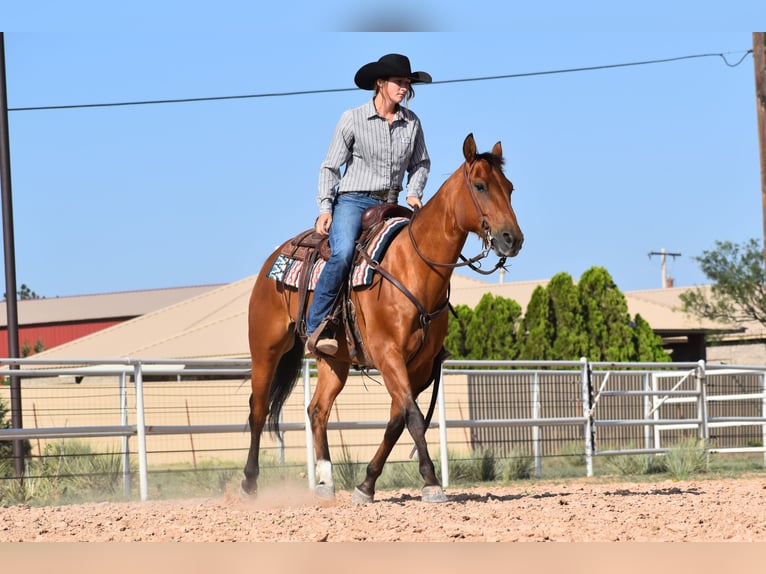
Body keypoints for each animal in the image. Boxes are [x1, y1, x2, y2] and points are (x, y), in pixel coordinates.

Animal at [242, 133, 524, 504]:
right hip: (266, 348)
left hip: (336, 360)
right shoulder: (388, 355)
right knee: (259, 409)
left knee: (317, 410)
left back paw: (325, 482)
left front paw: (366, 485)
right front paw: (431, 483)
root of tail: (275, 258)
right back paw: (249, 484)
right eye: (479, 186)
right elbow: (414, 417)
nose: (512, 239)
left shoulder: (418, 365)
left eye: (509, 188)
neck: (414, 267)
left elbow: (398, 420)